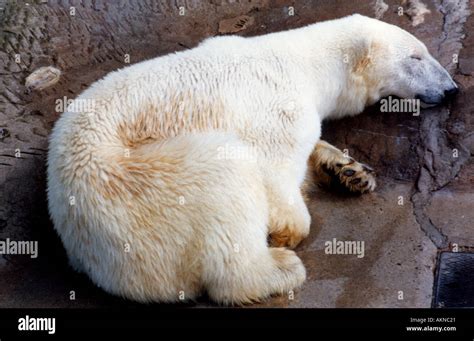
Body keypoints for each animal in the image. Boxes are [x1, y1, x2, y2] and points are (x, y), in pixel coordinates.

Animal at [47, 14, 456, 304]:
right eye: (416, 56)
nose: (452, 89)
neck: (307, 65)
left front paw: (349, 170)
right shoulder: (279, 107)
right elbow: (274, 168)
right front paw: (287, 227)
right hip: (135, 183)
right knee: (224, 177)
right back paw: (280, 268)